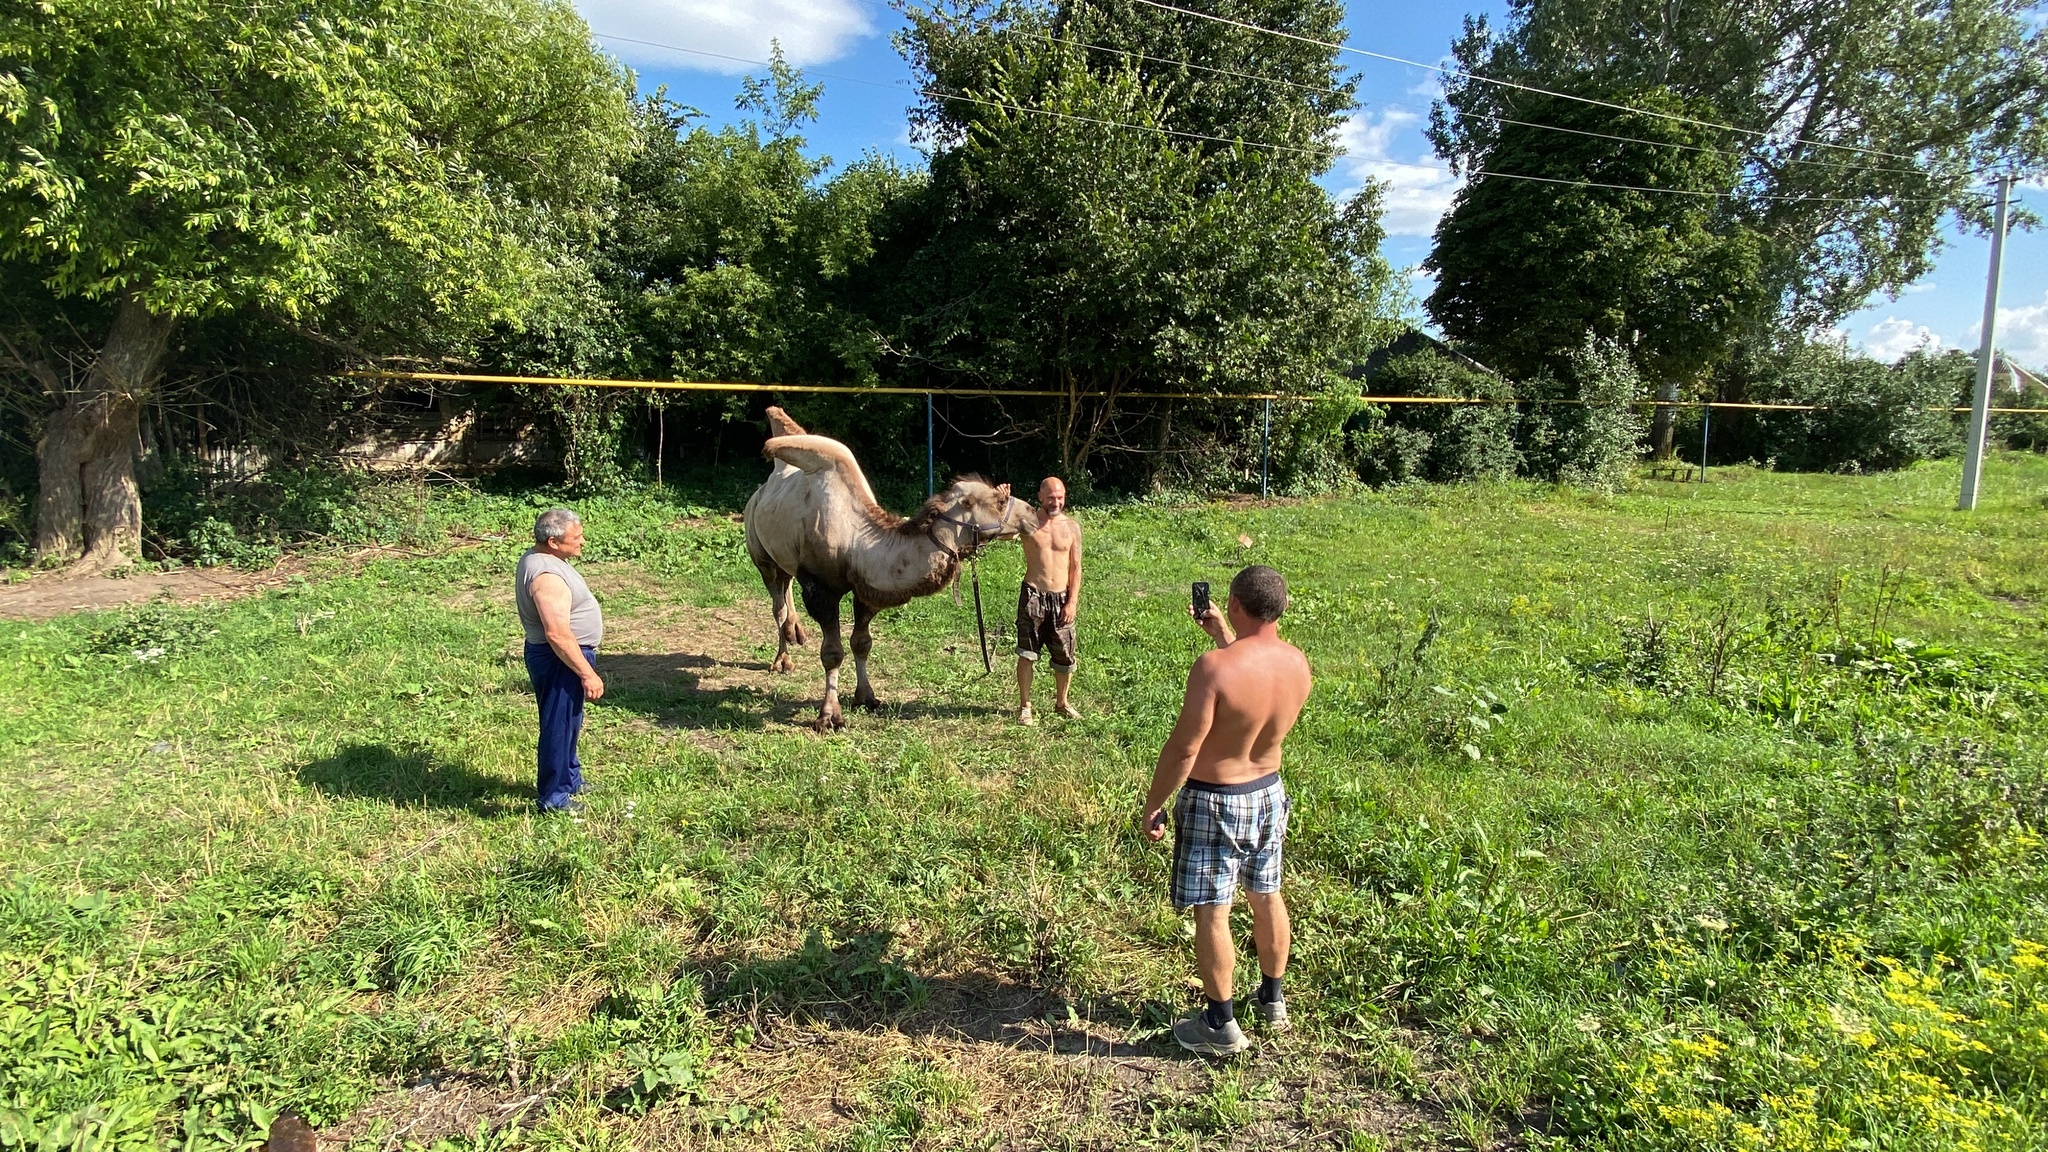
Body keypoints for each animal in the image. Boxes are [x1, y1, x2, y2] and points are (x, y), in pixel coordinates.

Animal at [745, 405, 1032, 725]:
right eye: (1000, 501)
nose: (1033, 513)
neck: (854, 541)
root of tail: (760, 492)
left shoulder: (867, 589)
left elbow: (861, 642)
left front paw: (867, 698)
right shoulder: (821, 587)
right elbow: (832, 652)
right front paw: (829, 716)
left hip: (785, 557)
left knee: (787, 582)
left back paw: (796, 634)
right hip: (760, 554)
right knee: (777, 603)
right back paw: (782, 660)